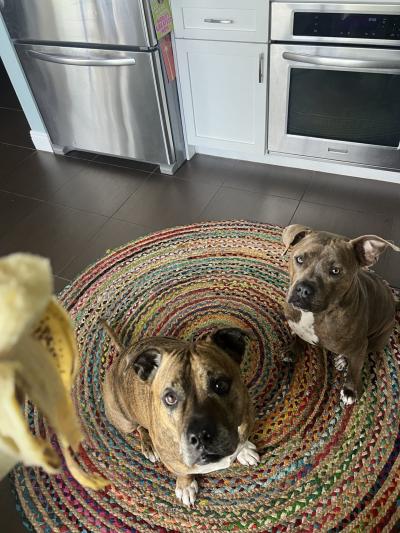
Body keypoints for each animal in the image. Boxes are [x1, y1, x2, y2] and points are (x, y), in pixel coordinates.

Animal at [282, 223, 400, 404]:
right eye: (300, 259)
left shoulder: (360, 346)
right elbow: (298, 337)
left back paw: (343, 359)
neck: (315, 315)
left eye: (335, 271)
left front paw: (350, 389)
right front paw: (293, 349)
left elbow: (355, 369)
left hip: (378, 338)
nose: (303, 289)